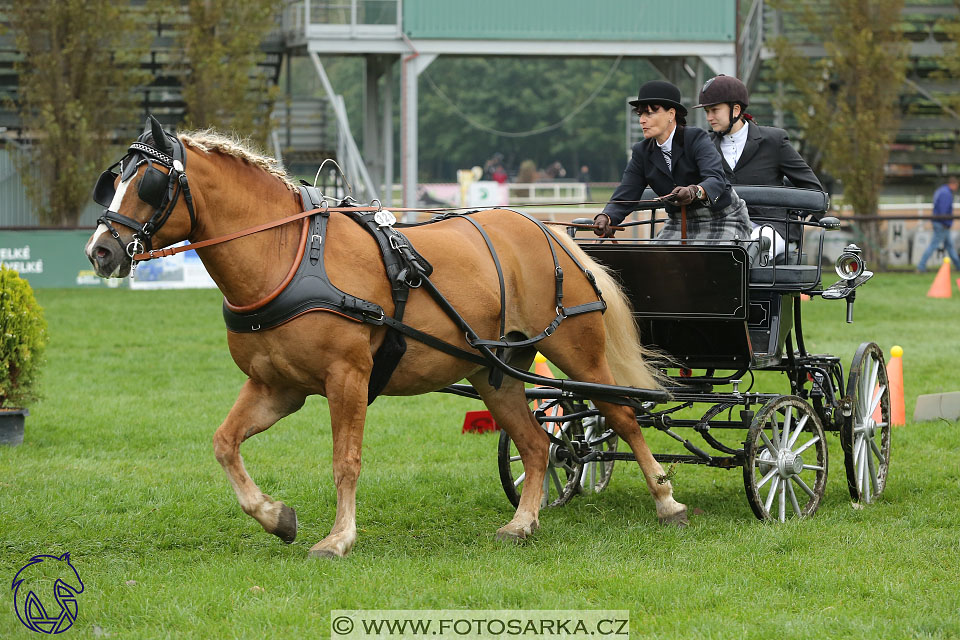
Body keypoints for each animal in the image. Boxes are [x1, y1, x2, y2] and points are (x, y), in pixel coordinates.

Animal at [80, 117, 684, 556]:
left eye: (150, 182)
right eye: (115, 179)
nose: (100, 252)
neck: (289, 257)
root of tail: (548, 229)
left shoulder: (347, 376)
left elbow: (344, 460)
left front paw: (338, 538)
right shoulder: (277, 386)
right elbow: (225, 444)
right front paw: (278, 518)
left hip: (577, 350)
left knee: (624, 415)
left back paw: (665, 499)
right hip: (494, 372)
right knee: (538, 444)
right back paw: (522, 522)